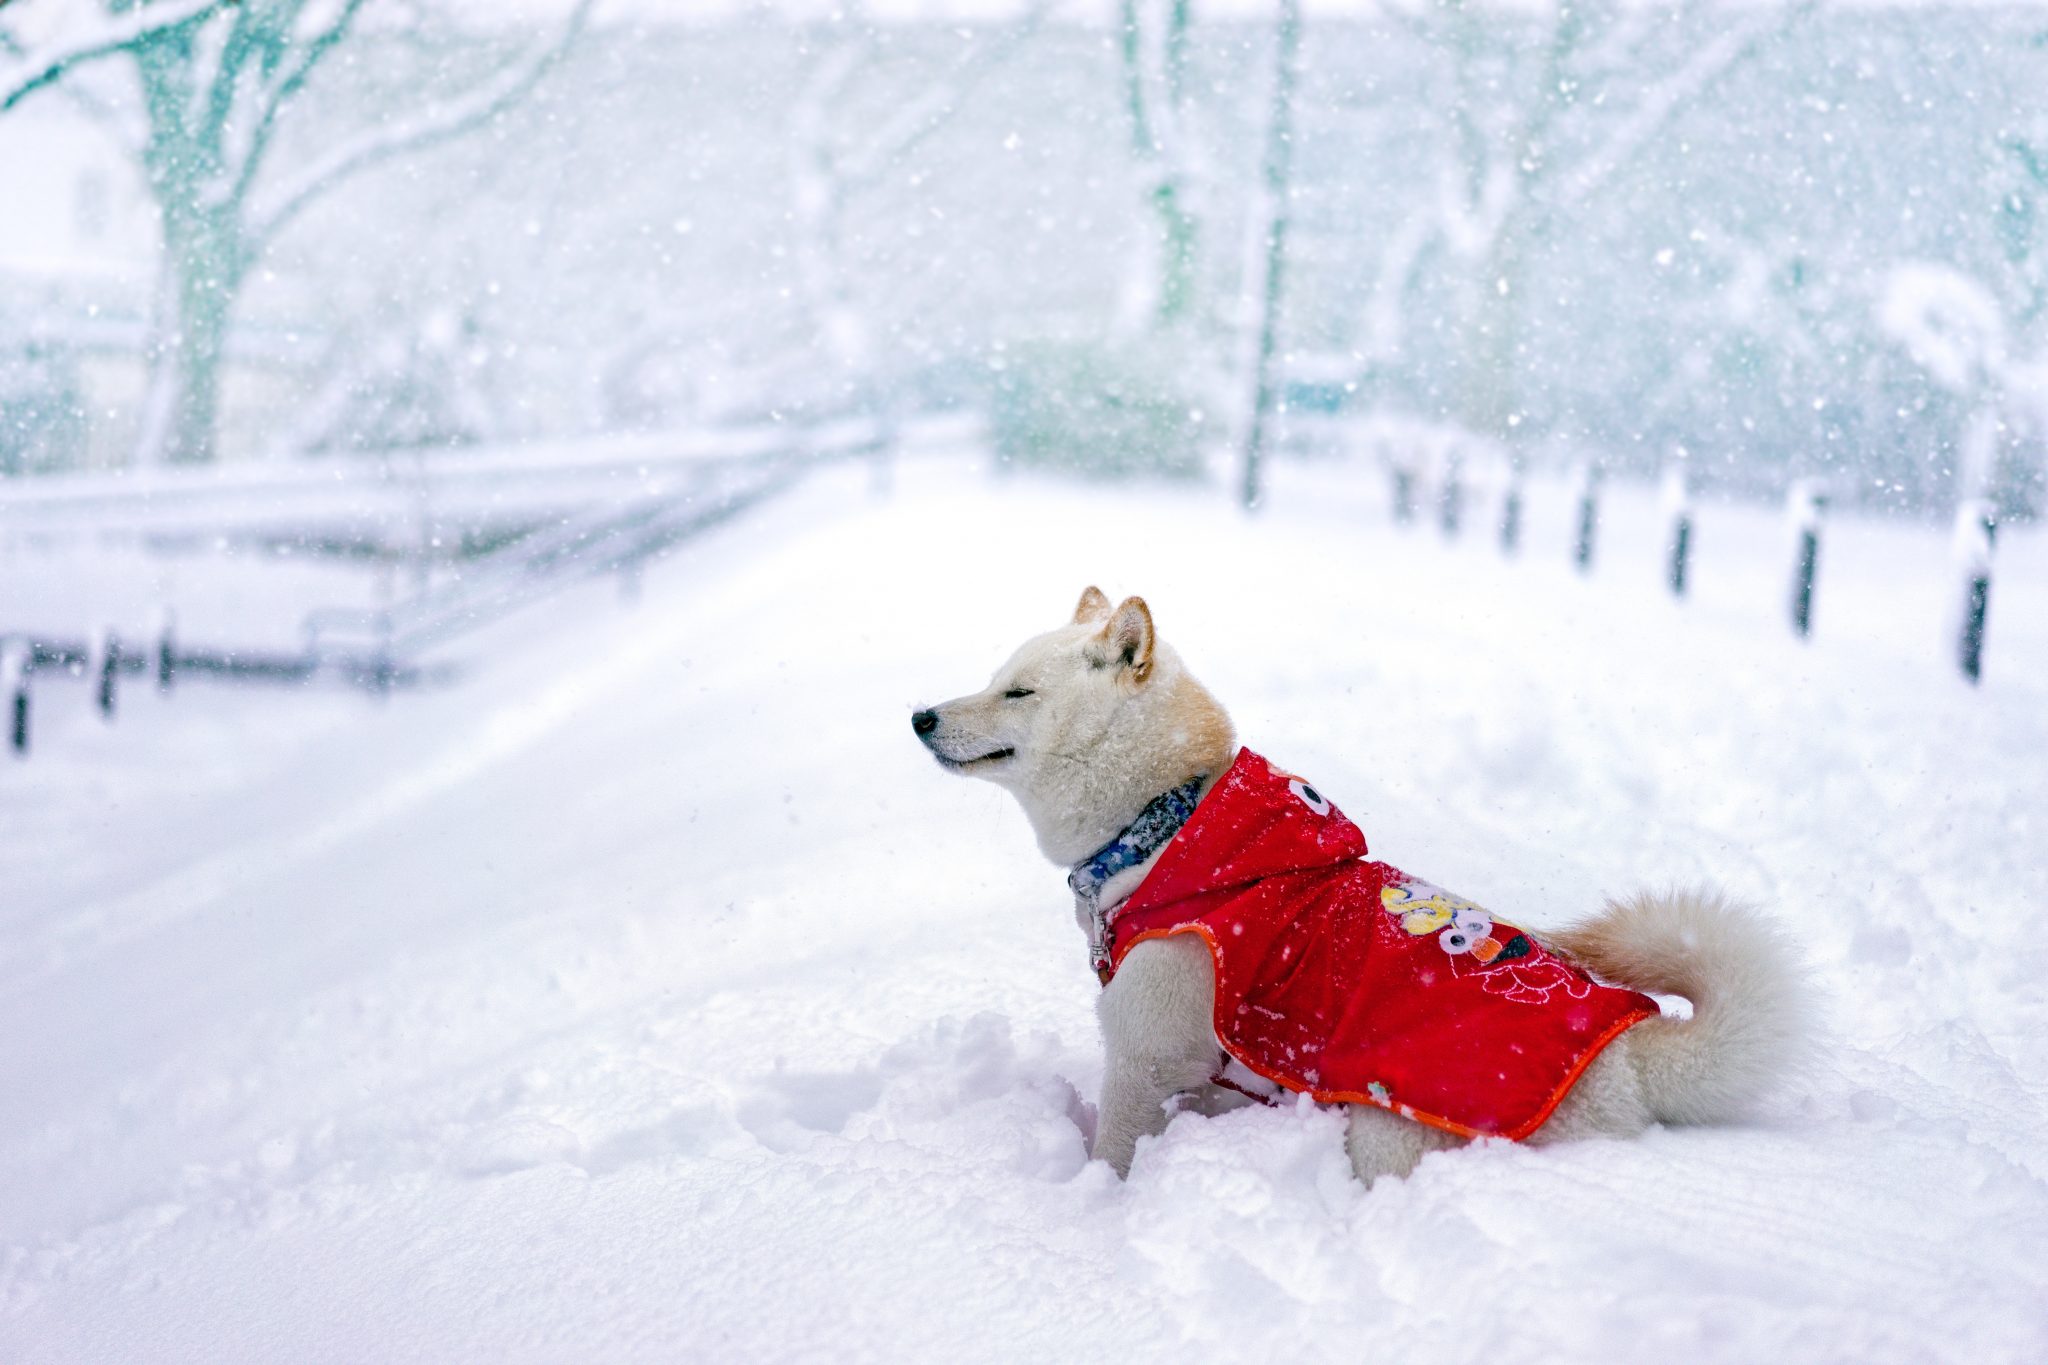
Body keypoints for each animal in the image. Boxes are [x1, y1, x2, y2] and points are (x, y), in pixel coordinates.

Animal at [913, 589, 1810, 1186]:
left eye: (1019, 691)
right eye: (993, 676)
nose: (921, 715)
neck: (1162, 825)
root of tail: (1630, 1063)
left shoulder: (1145, 1054)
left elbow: (1115, 1150)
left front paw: (1093, 1199)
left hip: (1387, 1129)